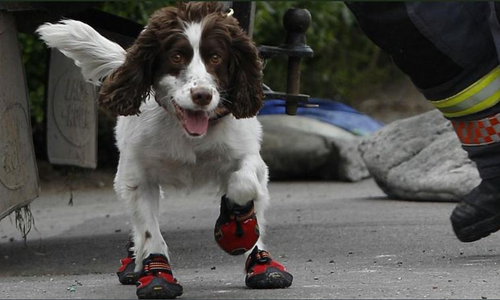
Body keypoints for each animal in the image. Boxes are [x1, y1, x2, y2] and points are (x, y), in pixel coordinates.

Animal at [38, 2, 292, 300]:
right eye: (177, 56)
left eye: (216, 57)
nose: (202, 95)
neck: (188, 133)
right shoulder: (138, 178)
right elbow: (149, 231)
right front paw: (157, 275)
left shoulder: (251, 158)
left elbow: (243, 185)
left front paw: (234, 225)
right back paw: (135, 262)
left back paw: (262, 264)